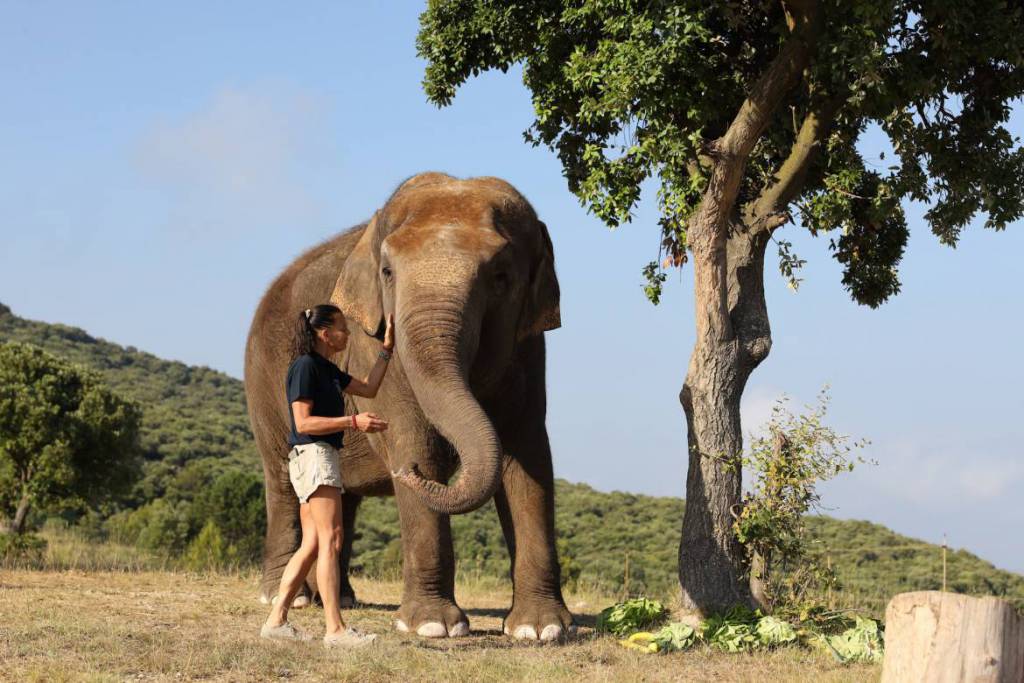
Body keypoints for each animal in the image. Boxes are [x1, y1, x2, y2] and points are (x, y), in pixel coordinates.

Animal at [241, 171, 577, 643]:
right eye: (387, 272)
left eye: (500, 276)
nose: (406, 474)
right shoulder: (368, 348)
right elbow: (417, 443)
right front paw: (433, 627)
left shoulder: (528, 347)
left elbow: (527, 461)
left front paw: (540, 630)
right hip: (265, 383)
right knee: (283, 482)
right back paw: (285, 597)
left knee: (341, 500)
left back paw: (342, 599)